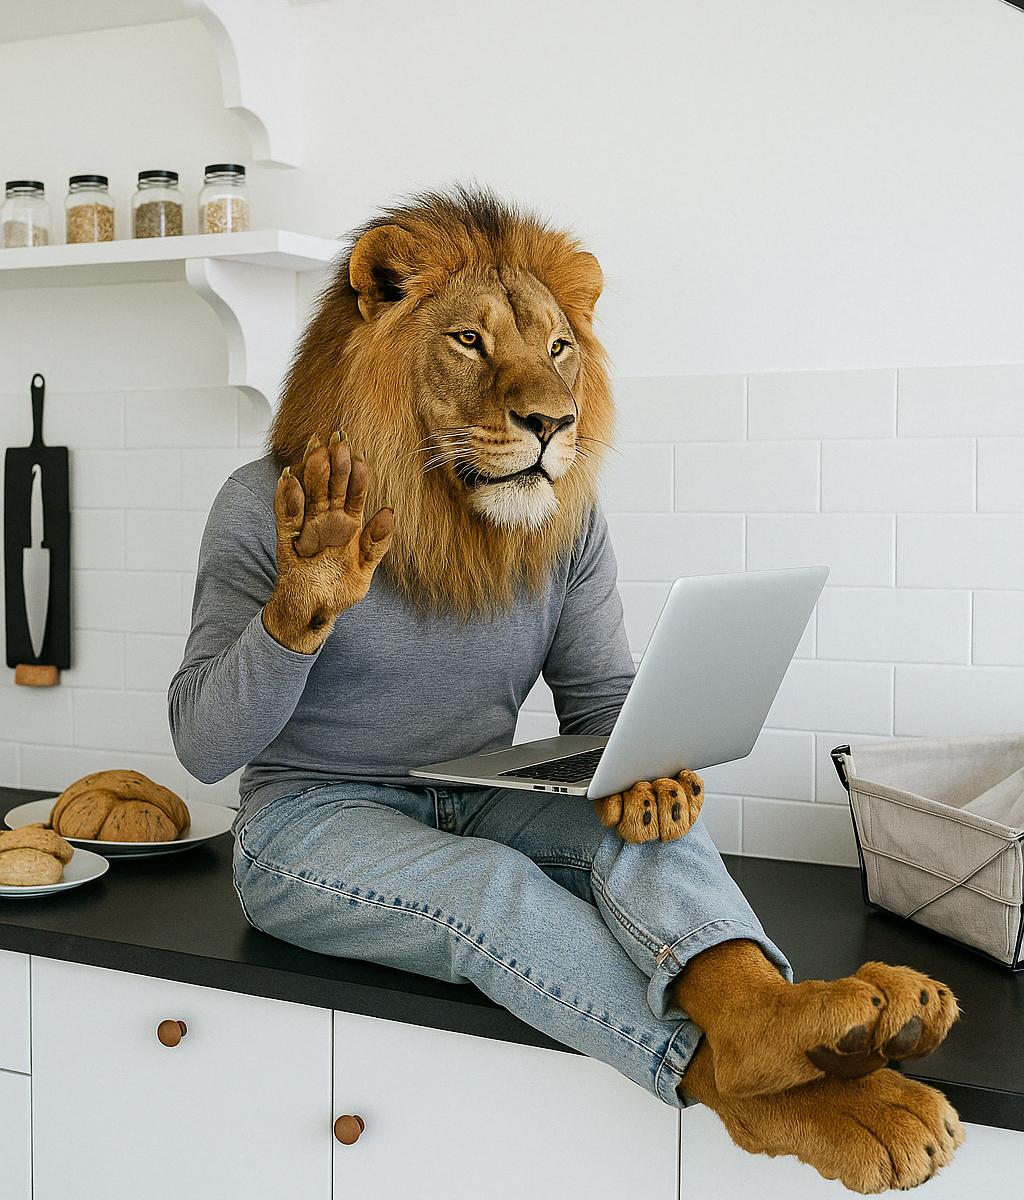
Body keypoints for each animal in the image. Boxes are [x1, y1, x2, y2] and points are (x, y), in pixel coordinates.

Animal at [180, 188, 962, 1192]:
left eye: (557, 347)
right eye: (468, 340)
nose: (553, 424)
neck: (452, 525)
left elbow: (606, 695)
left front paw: (663, 788)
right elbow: (198, 714)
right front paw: (319, 561)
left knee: (633, 866)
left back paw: (859, 1024)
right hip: (305, 868)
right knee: (492, 894)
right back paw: (831, 1073)